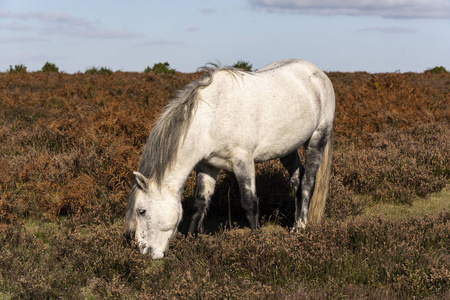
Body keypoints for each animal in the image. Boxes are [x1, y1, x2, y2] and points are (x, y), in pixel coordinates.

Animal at [125, 59, 334, 258]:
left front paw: (258, 242)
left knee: (307, 183)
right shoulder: (207, 166)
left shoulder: (243, 162)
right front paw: (190, 242)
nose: (144, 251)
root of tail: (317, 73)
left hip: (317, 139)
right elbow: (199, 204)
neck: (211, 118)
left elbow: (250, 204)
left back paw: (300, 228)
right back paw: (296, 221)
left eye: (141, 211)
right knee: (297, 179)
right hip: (286, 148)